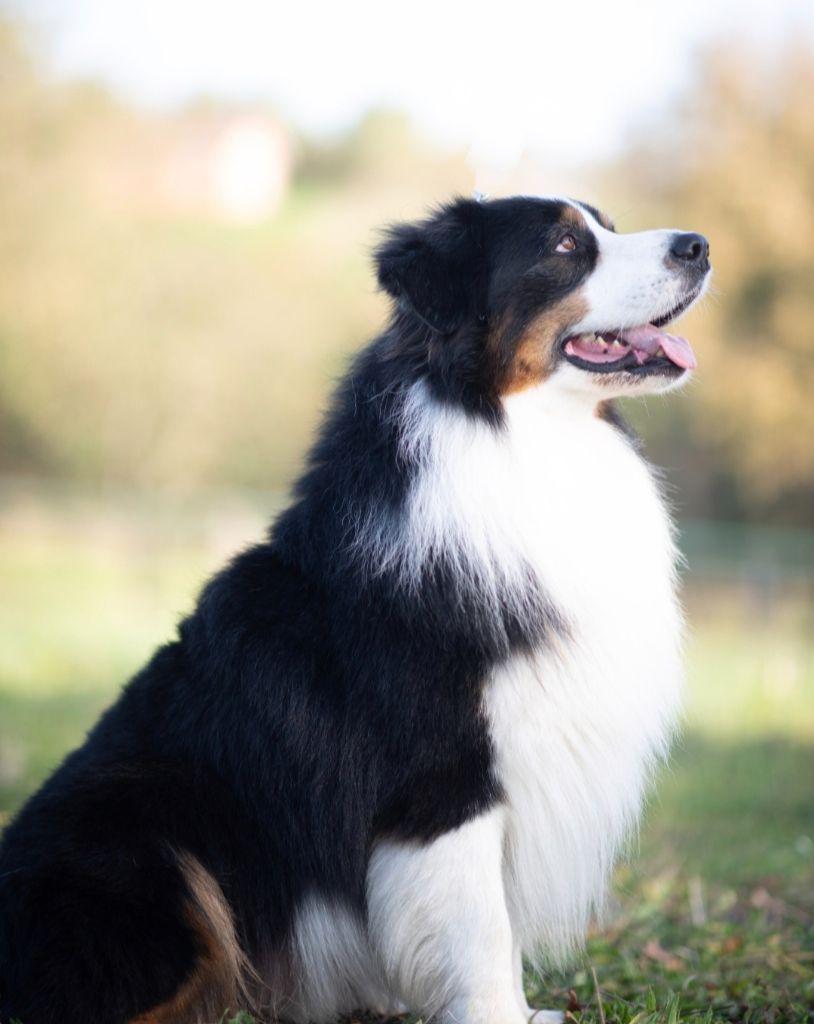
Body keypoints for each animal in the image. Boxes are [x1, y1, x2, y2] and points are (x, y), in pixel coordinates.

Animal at [0, 193, 708, 1024]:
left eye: (606, 225)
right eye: (565, 246)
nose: (698, 245)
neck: (513, 433)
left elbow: (493, 923)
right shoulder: (445, 776)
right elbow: (480, 926)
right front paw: (496, 1015)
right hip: (146, 849)